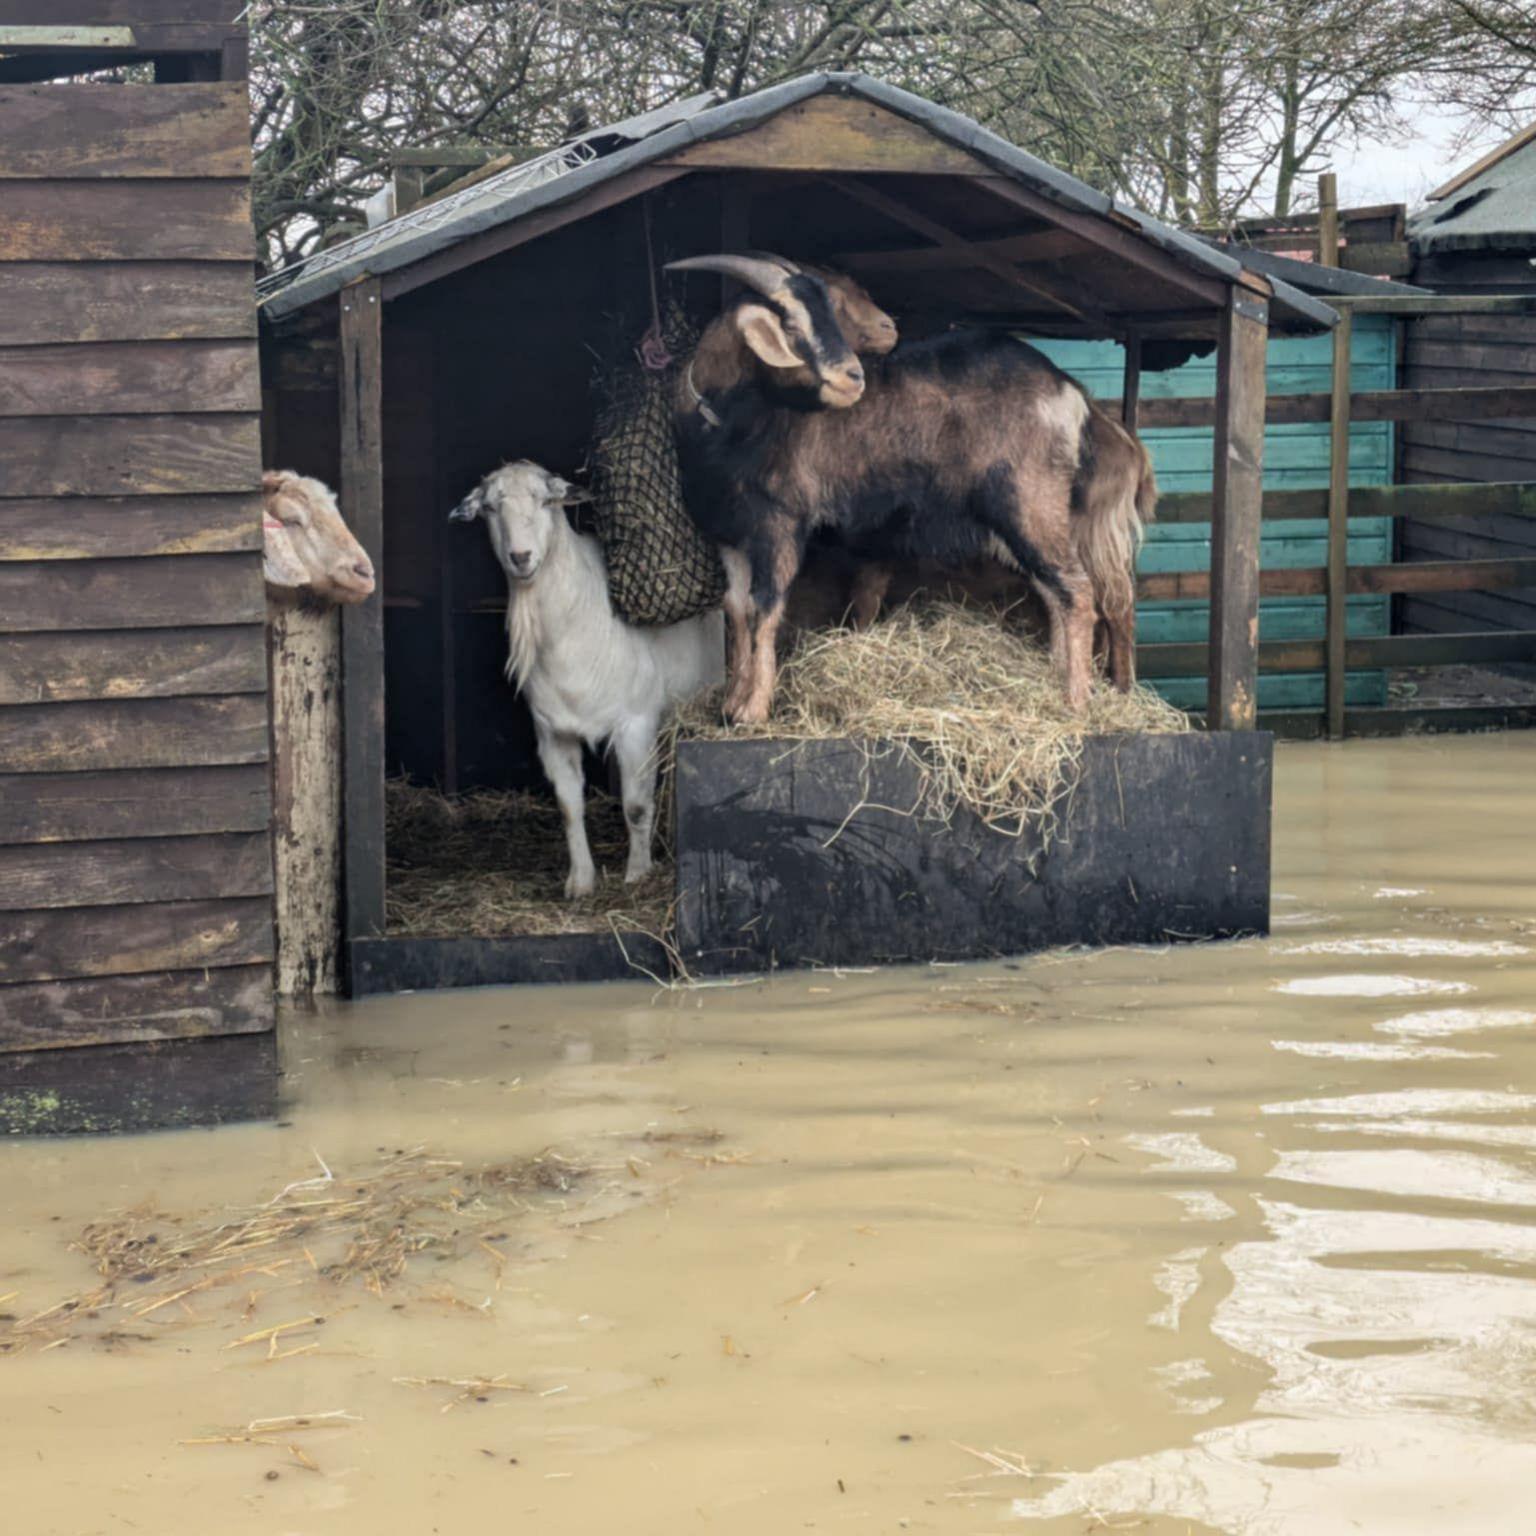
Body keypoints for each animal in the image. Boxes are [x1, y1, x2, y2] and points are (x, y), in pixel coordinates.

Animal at [448, 466, 724, 897]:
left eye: (547, 501)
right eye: (490, 508)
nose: (520, 557)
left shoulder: (635, 724)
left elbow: (635, 805)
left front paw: (637, 873)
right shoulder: (553, 734)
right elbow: (568, 807)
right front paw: (580, 880)